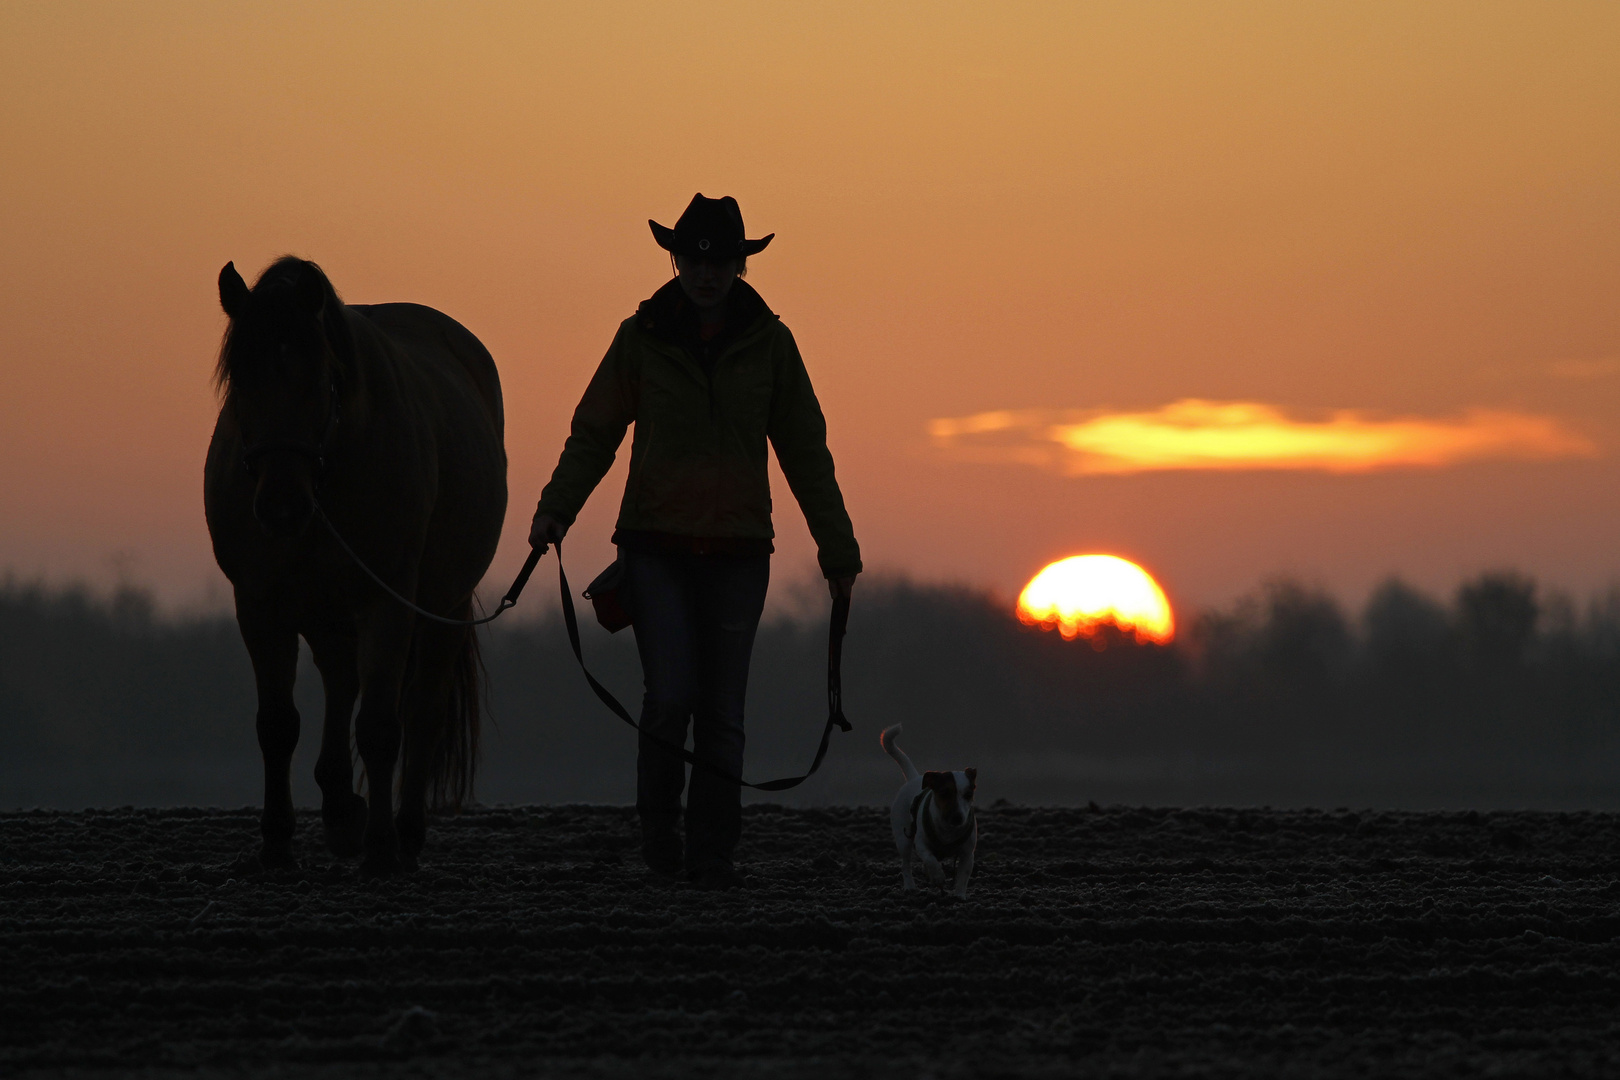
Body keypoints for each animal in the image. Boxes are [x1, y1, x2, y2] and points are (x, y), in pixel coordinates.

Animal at [205, 255, 505, 880]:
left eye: (321, 378)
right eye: (239, 378)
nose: (281, 504)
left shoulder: (387, 603)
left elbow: (382, 727)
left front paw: (382, 849)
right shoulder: (260, 606)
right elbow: (278, 723)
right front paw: (276, 844)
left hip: (440, 607)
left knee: (421, 711)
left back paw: (404, 832)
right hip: (328, 614)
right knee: (342, 681)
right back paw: (342, 809)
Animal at [881, 725, 978, 906]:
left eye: (968, 795)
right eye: (944, 793)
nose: (958, 817)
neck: (948, 829)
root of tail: (913, 778)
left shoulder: (968, 854)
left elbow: (963, 876)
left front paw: (959, 895)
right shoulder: (921, 845)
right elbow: (930, 859)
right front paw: (938, 876)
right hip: (903, 839)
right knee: (906, 864)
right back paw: (910, 886)